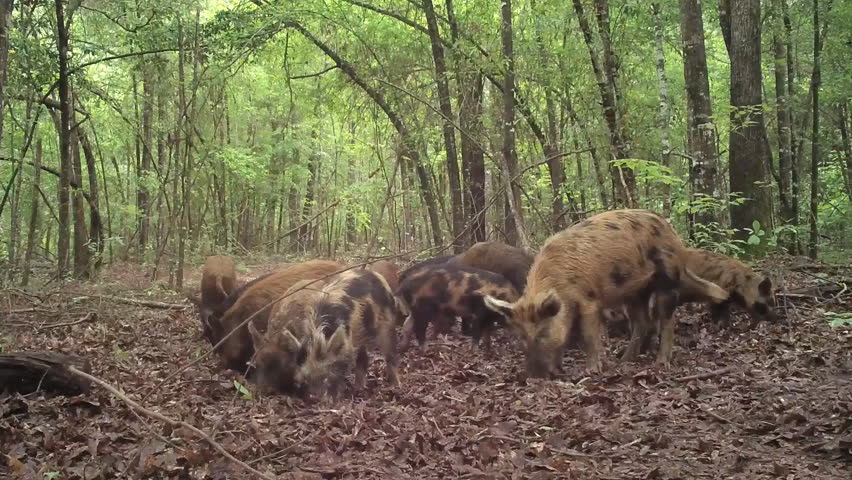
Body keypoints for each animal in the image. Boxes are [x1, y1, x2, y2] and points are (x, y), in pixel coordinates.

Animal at [292, 270, 408, 398]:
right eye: (306, 378)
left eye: (325, 375)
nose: (314, 398)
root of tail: (375, 274)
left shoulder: (347, 345)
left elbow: (340, 370)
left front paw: (333, 397)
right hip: (360, 335)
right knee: (363, 358)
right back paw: (358, 388)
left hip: (387, 322)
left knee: (390, 354)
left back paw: (395, 386)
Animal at [482, 208, 728, 376]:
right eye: (521, 336)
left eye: (542, 333)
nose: (533, 377)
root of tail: (675, 238)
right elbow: (568, 335)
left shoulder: (589, 300)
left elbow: (588, 335)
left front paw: (592, 370)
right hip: (634, 292)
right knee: (642, 322)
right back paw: (624, 360)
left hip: (667, 280)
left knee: (668, 320)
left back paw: (660, 362)